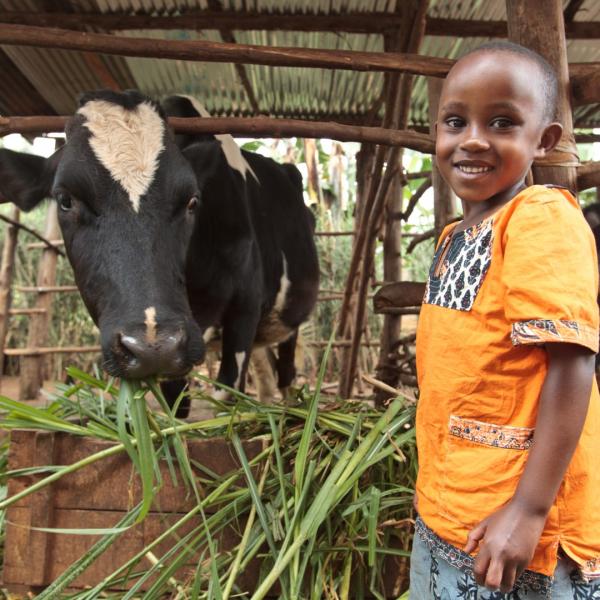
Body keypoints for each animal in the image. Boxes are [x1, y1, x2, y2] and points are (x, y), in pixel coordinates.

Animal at [0, 90, 322, 418]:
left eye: (192, 200)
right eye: (65, 200)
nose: (152, 345)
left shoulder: (244, 307)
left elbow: (226, 396)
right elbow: (175, 407)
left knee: (286, 371)